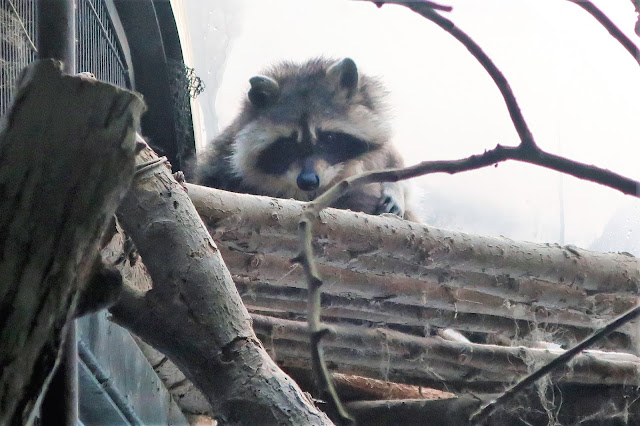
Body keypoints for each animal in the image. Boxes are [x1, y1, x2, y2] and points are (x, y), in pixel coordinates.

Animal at [196, 57, 416, 220]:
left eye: (328, 137)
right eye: (287, 145)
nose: (308, 181)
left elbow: (392, 157)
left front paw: (394, 185)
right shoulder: (221, 160)